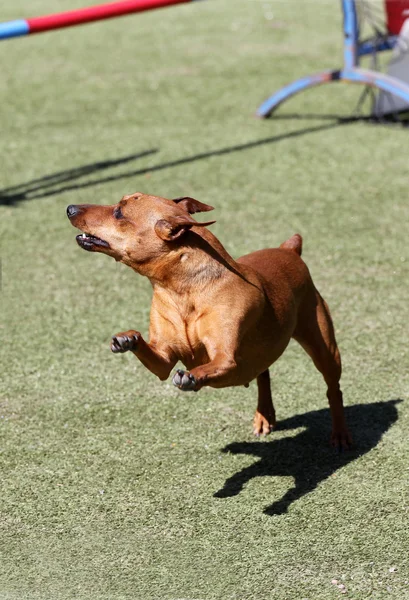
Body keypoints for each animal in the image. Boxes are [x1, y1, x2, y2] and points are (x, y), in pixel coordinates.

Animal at [67, 191, 350, 446]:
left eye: (119, 212)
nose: (70, 208)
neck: (184, 292)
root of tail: (289, 250)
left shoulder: (227, 361)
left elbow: (211, 366)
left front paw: (192, 377)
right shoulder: (163, 359)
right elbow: (150, 350)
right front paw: (127, 339)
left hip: (324, 347)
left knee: (333, 388)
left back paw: (340, 435)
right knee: (264, 374)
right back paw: (263, 416)